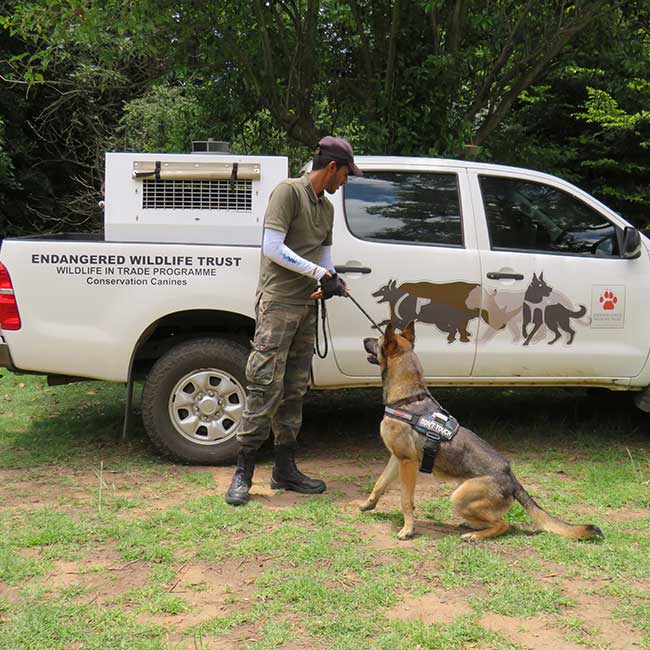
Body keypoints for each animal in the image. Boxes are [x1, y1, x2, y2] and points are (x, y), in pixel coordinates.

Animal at [362, 320, 600, 540]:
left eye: (378, 340)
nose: (364, 339)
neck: (408, 398)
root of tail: (512, 479)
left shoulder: (407, 463)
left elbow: (405, 500)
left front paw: (408, 528)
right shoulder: (397, 458)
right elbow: (379, 483)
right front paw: (368, 504)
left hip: (459, 496)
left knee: (504, 525)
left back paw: (475, 535)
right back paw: (472, 526)